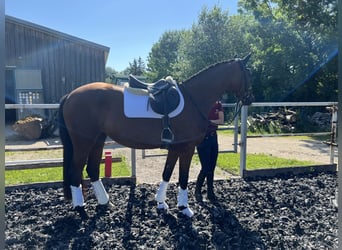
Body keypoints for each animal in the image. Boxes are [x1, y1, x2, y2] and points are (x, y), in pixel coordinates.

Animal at [58, 53, 252, 218]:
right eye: (247, 73)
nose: (250, 99)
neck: (194, 99)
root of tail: (70, 95)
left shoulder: (175, 148)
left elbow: (167, 173)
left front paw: (161, 203)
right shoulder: (187, 149)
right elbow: (183, 177)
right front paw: (184, 208)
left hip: (98, 140)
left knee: (92, 170)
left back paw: (105, 203)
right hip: (83, 142)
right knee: (75, 171)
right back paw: (81, 209)